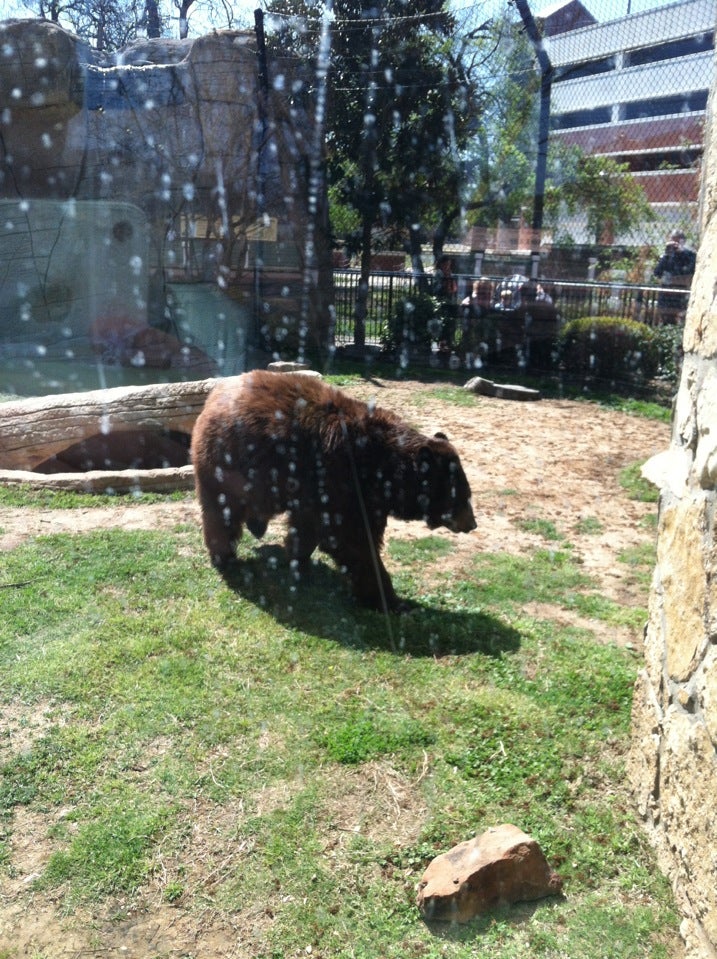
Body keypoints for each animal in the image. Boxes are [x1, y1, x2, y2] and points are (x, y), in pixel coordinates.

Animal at [190, 372, 476, 612]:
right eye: (460, 495)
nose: (471, 523)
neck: (384, 470)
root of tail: (212, 398)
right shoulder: (343, 482)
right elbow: (352, 541)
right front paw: (389, 599)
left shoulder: (319, 493)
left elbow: (308, 530)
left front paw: (298, 559)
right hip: (227, 464)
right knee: (222, 513)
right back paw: (224, 555)